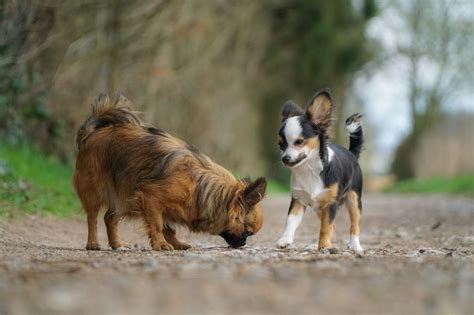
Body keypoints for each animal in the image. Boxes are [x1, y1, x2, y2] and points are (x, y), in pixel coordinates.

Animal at [74, 94, 266, 252]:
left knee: (109, 218)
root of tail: (91, 134)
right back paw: (93, 243)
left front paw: (176, 243)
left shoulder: (162, 207)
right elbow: (157, 225)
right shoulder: (151, 198)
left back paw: (117, 244)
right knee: (92, 218)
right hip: (97, 192)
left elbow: (169, 229)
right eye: (247, 232)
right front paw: (161, 244)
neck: (198, 185)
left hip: (123, 193)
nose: (243, 244)